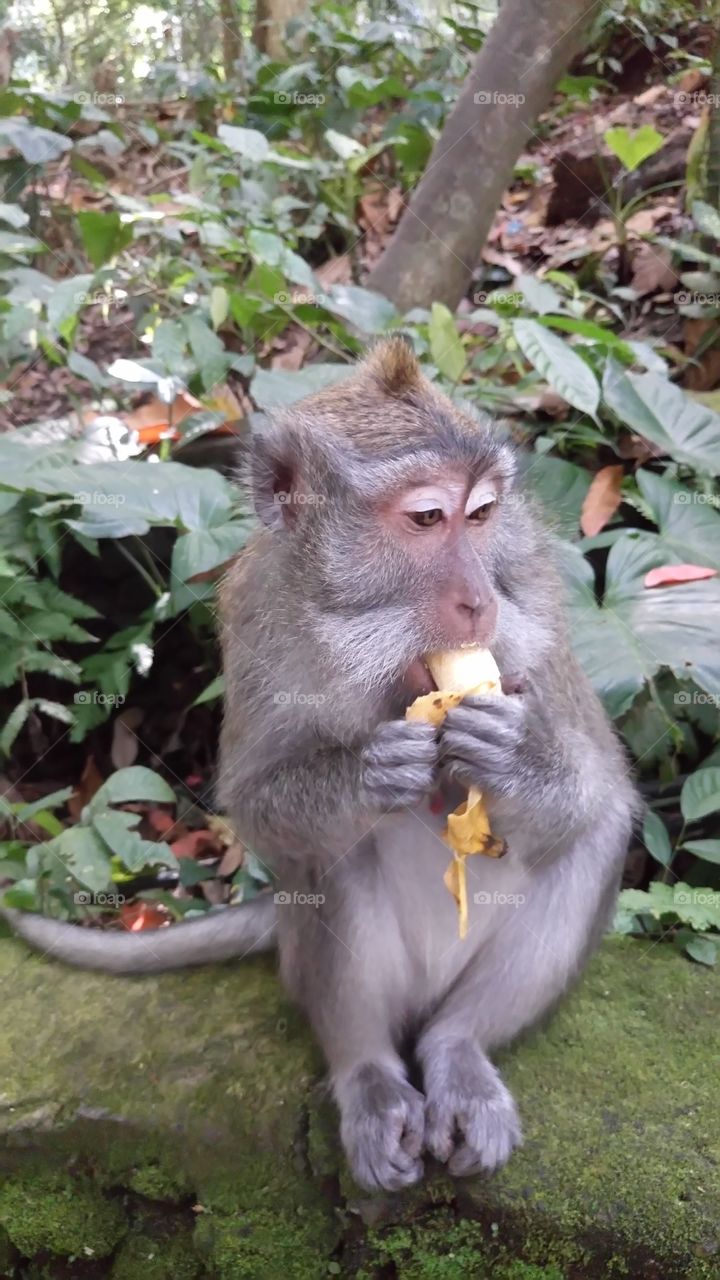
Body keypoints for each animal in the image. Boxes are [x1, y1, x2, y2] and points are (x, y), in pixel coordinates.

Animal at [2, 337, 637, 1191]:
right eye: (428, 518)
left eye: (481, 516)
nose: (477, 602)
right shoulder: (256, 609)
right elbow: (258, 802)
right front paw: (367, 772)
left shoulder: (534, 592)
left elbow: (596, 786)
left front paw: (517, 756)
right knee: (326, 860)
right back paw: (366, 1073)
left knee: (595, 837)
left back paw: (460, 1049)